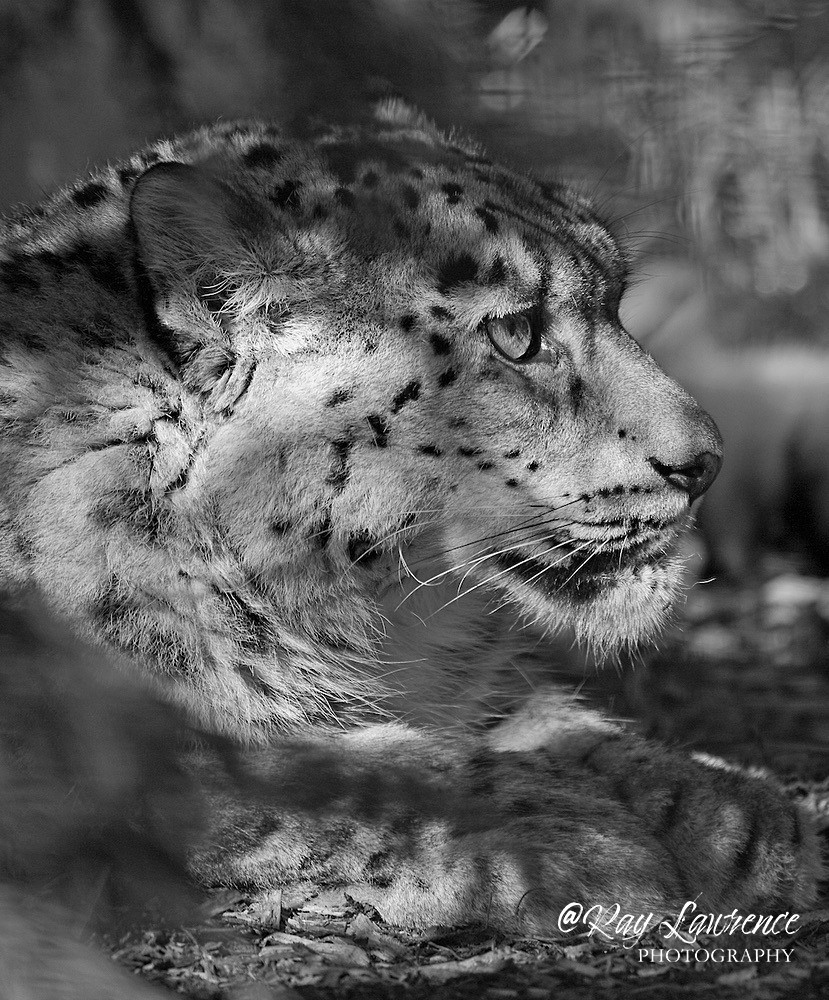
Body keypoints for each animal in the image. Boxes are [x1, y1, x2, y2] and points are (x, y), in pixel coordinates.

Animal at [0, 99, 820, 962]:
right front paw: (574, 836)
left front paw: (731, 817)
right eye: (517, 335)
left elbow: (538, 718)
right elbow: (308, 772)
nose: (705, 462)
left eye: (618, 300)